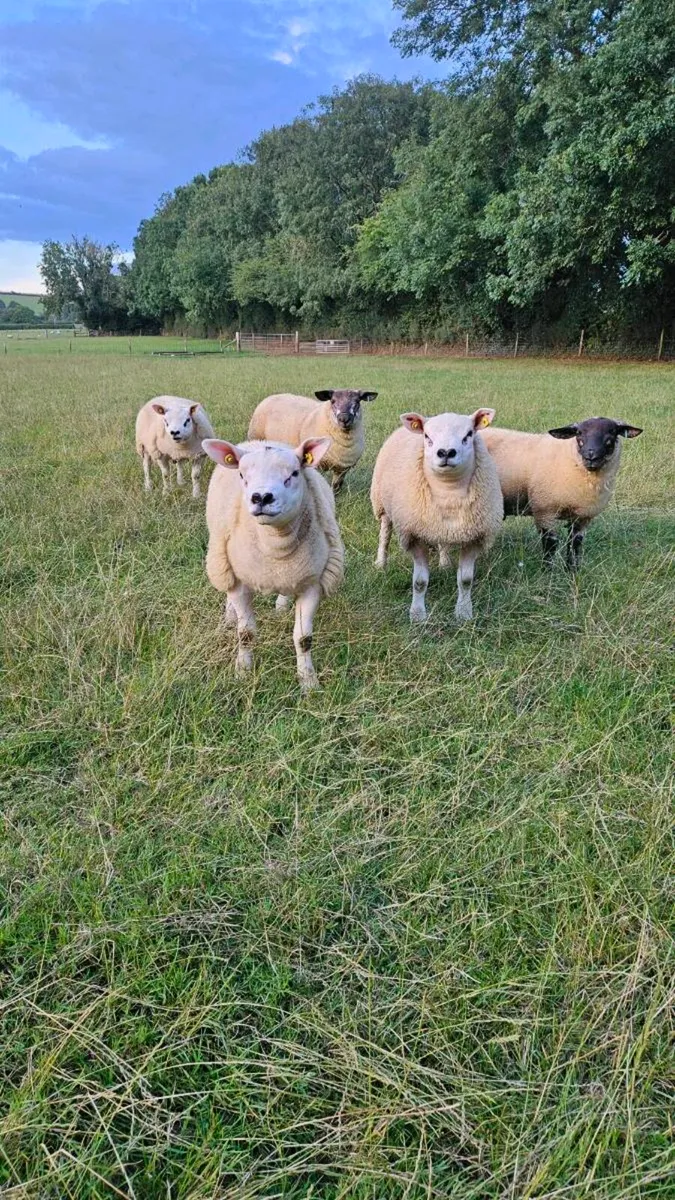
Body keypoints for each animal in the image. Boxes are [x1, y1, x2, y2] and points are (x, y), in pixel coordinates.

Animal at [202, 435, 344, 690]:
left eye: (294, 473)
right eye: (242, 475)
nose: (261, 497)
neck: (275, 545)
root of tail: (259, 440)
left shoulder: (312, 583)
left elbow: (303, 639)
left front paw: (308, 682)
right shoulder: (240, 582)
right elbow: (246, 634)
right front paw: (242, 671)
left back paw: (281, 604)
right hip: (222, 556)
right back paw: (229, 616)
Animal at [247, 389, 378, 493]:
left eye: (357, 401)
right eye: (333, 401)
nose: (344, 418)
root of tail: (272, 396)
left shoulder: (342, 469)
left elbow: (336, 488)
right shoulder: (316, 464)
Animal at [371, 409, 503, 623]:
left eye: (469, 434)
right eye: (427, 436)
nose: (446, 452)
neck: (449, 491)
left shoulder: (475, 537)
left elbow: (466, 580)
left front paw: (464, 613)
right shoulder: (414, 535)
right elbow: (419, 582)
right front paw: (417, 615)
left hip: (439, 526)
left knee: (443, 542)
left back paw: (444, 564)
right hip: (381, 504)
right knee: (384, 535)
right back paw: (381, 563)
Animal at [481, 417, 643, 569]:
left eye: (612, 433)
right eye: (579, 434)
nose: (591, 456)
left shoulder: (583, 517)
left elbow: (575, 544)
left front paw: (572, 570)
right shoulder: (545, 511)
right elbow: (550, 544)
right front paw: (547, 571)